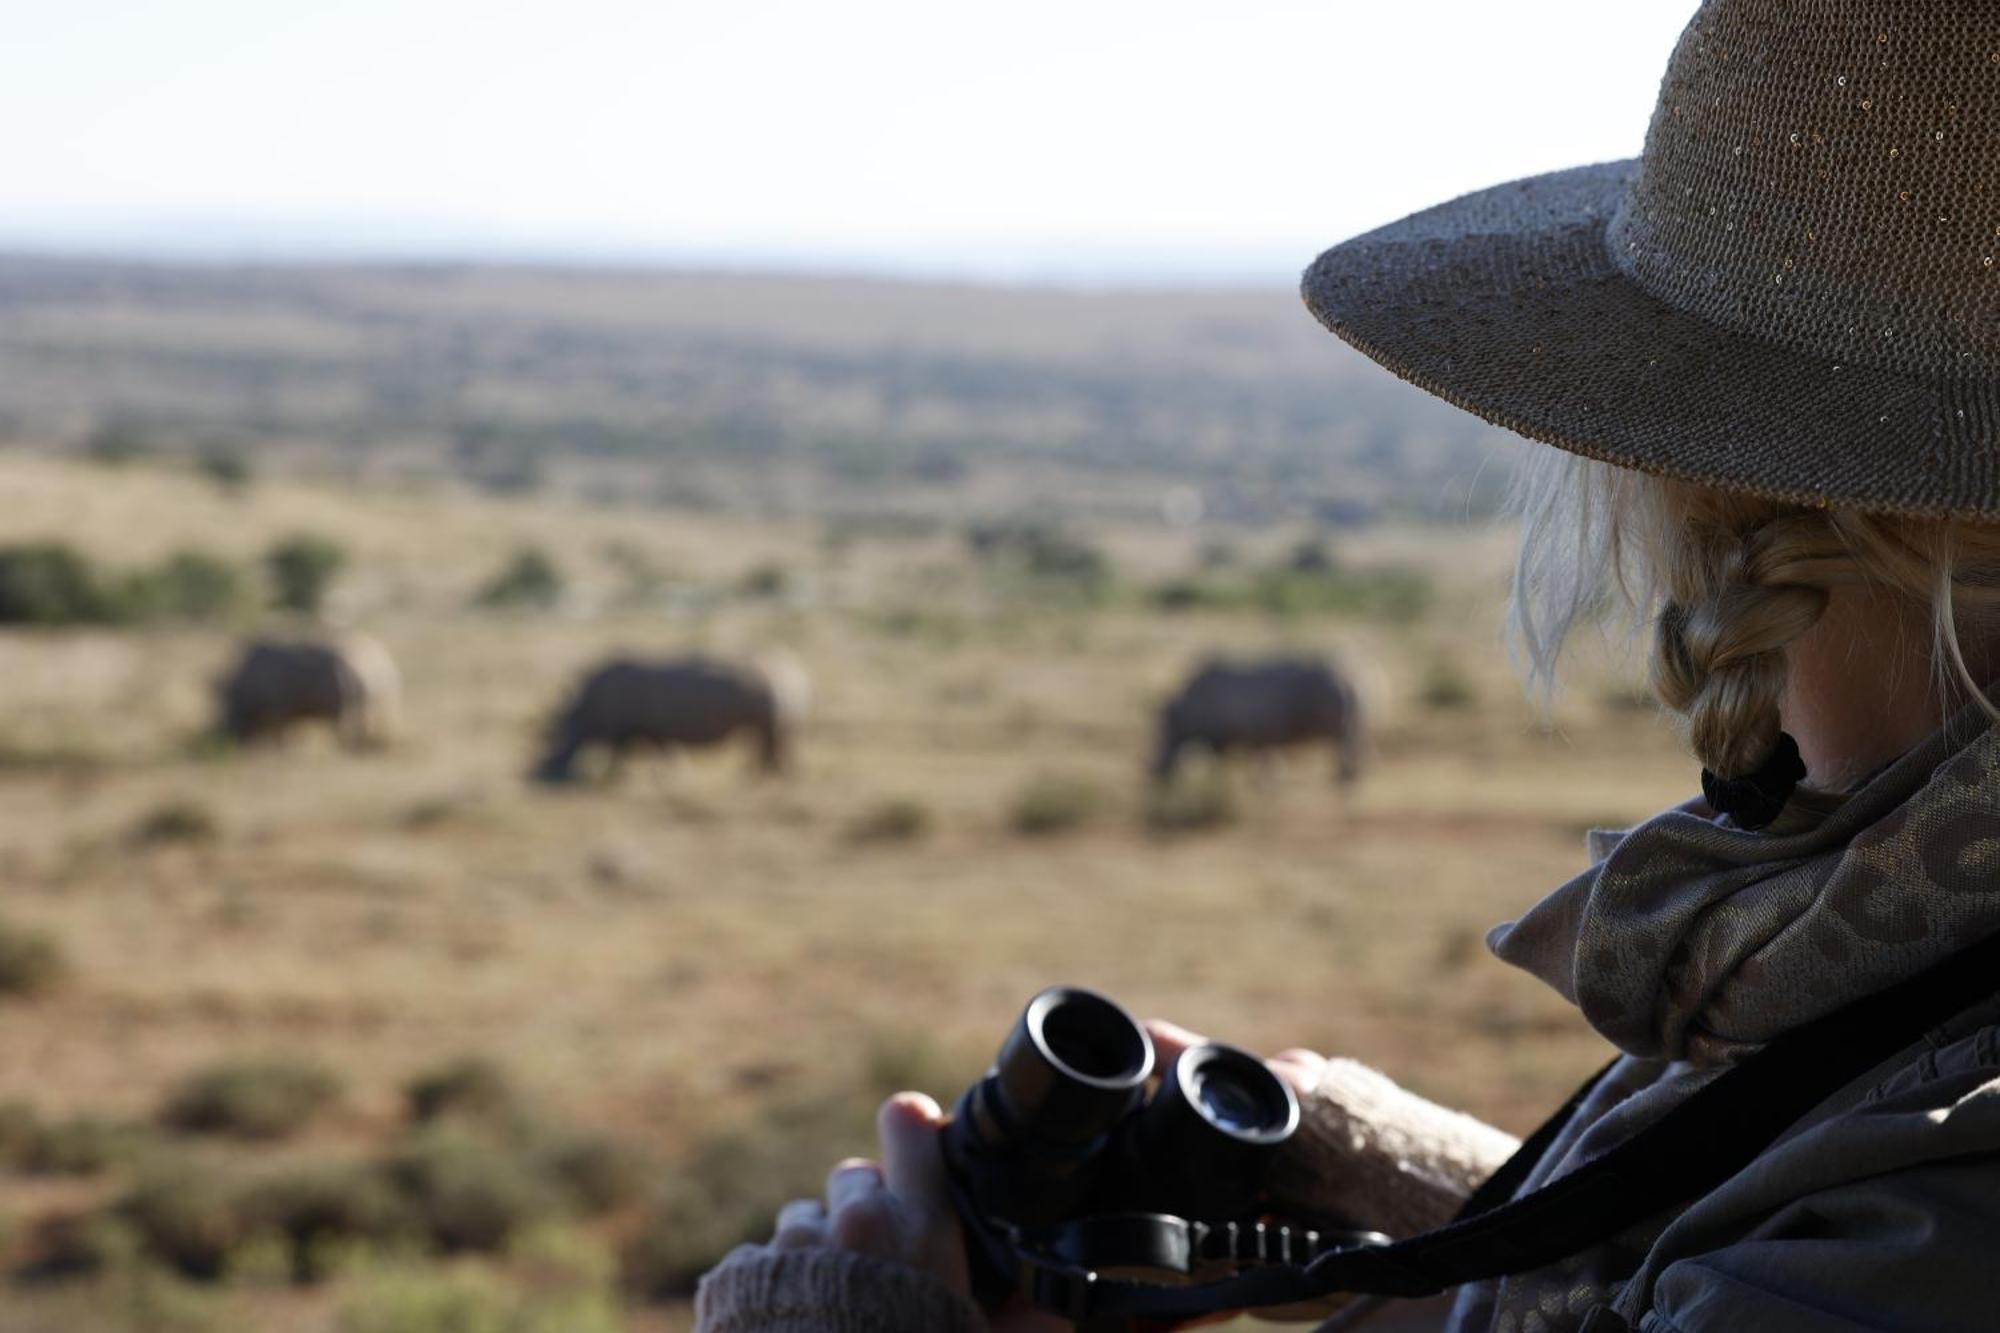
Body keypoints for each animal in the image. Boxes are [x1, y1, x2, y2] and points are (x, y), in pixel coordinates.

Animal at [217, 632, 400, 748]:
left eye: (229, 716)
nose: (227, 739)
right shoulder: (288, 711)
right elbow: (291, 733)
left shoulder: (278, 708)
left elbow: (280, 734)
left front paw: (282, 750)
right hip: (368, 689)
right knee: (365, 721)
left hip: (343, 692)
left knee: (345, 724)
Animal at [540, 652, 812, 784]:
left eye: (555, 741)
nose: (546, 773)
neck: (584, 712)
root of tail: (793, 672)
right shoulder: (647, 728)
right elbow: (659, 750)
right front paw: (671, 773)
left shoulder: (623, 728)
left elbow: (622, 753)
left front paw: (616, 776)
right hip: (772, 690)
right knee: (769, 737)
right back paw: (765, 778)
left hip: (763, 688)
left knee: (766, 737)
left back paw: (758, 780)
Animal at [1152, 652, 1368, 784]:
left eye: (1165, 737)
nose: (1154, 772)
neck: (1185, 711)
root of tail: (1350, 674)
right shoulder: (1253, 731)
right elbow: (1256, 757)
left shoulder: (1225, 733)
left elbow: (1231, 759)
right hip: (1343, 692)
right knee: (1351, 734)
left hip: (1329, 689)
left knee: (1340, 737)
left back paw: (1341, 780)